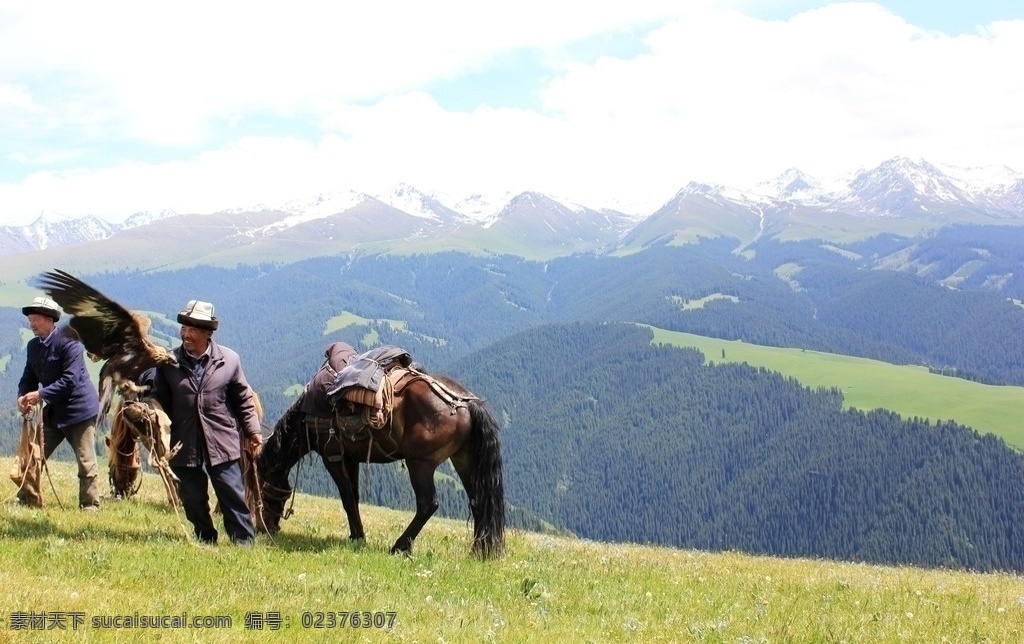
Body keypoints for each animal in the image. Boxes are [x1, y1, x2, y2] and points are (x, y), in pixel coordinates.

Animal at [258, 364, 505, 556]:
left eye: (261, 488)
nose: (266, 528)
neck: (308, 414)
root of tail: (466, 402)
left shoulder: (333, 457)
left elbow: (347, 499)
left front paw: (359, 537)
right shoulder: (351, 459)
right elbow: (354, 498)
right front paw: (355, 535)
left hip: (420, 463)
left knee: (428, 503)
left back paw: (400, 547)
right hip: (463, 460)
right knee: (478, 501)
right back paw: (478, 551)